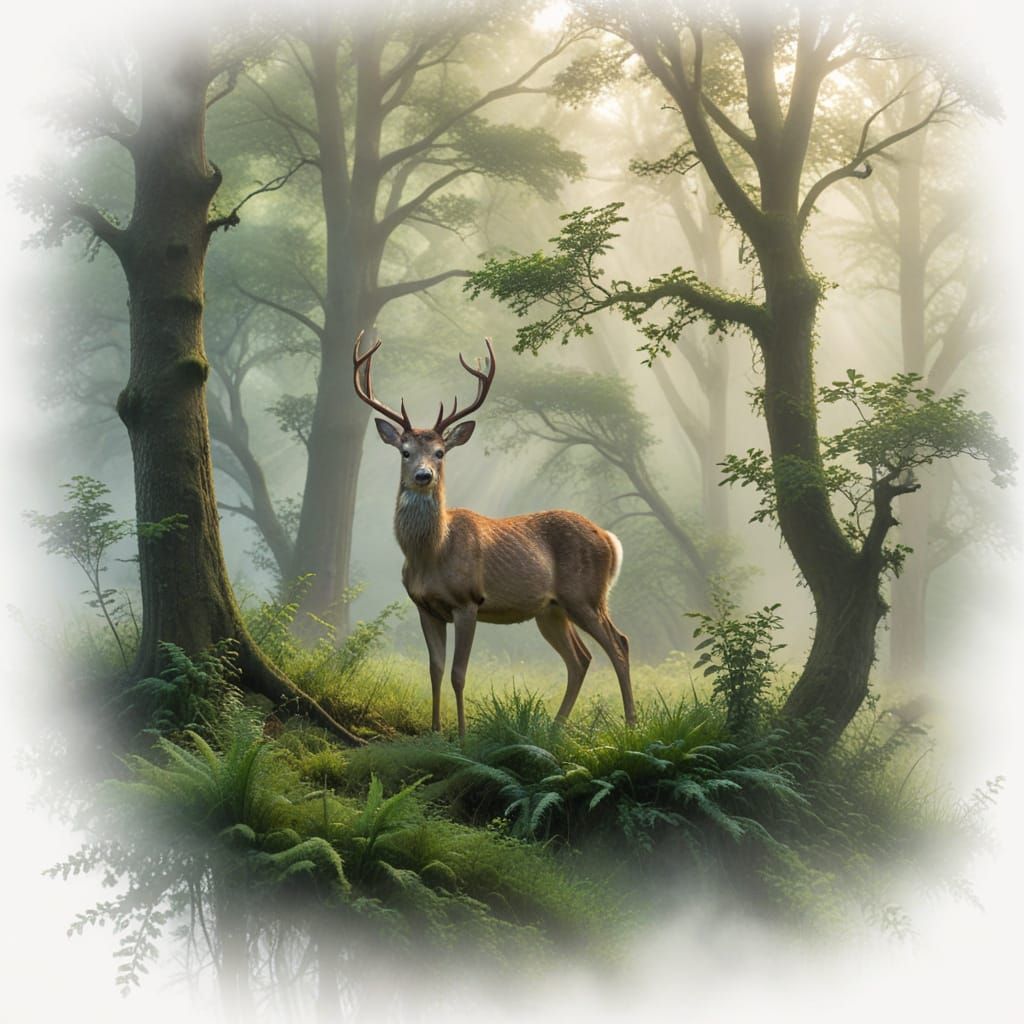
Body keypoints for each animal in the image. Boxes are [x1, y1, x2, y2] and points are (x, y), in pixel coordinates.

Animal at [353, 332, 636, 738]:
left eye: (440, 452)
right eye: (404, 452)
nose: (424, 475)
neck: (431, 554)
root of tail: (609, 539)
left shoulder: (468, 601)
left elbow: (458, 674)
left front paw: (461, 736)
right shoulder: (424, 606)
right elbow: (434, 670)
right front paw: (435, 731)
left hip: (586, 594)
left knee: (619, 644)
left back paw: (631, 724)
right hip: (551, 609)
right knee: (580, 659)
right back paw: (554, 728)